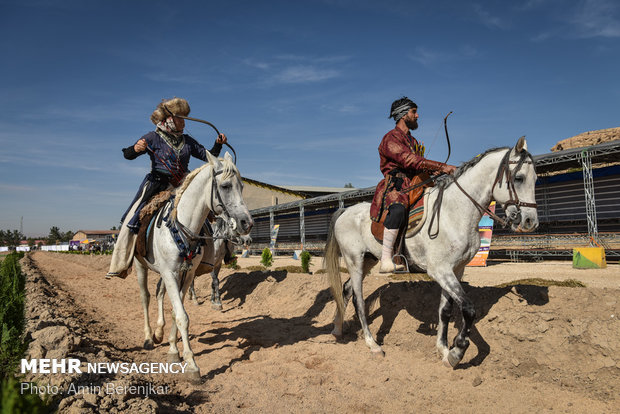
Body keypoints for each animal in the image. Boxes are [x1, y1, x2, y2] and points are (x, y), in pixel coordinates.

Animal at [135, 152, 252, 382]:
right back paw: (148, 337)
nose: (247, 224)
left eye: (242, 186)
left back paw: (159, 332)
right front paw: (191, 364)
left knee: (159, 293)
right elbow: (182, 316)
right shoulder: (171, 273)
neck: (182, 228)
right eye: (225, 186)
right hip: (141, 266)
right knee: (145, 297)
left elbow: (177, 310)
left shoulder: (186, 274)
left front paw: (173, 349)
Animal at [324, 137, 536, 368]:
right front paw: (457, 351)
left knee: (345, 290)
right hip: (354, 261)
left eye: (536, 179)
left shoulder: (455, 271)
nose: (530, 221)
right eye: (519, 178)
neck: (454, 213)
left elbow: (445, 310)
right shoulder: (440, 270)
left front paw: (443, 349)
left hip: (368, 260)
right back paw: (373, 344)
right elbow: (468, 309)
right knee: (359, 300)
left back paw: (337, 328)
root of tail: (346, 210)